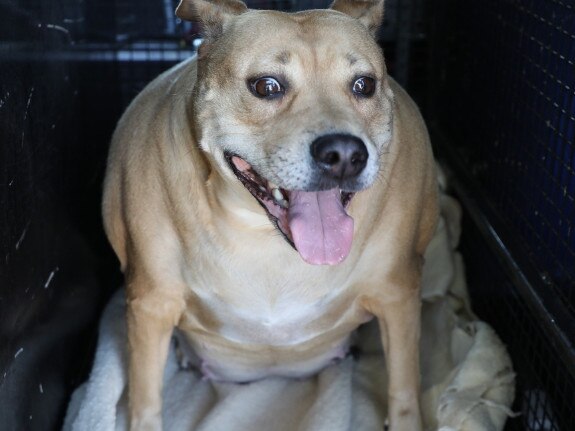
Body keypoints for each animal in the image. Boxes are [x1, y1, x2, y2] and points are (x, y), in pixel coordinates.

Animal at [102, 0, 436, 430]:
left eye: (364, 85)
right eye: (267, 87)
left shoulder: (397, 294)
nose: (344, 155)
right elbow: (145, 400)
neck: (266, 240)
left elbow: (404, 387)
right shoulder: (150, 304)